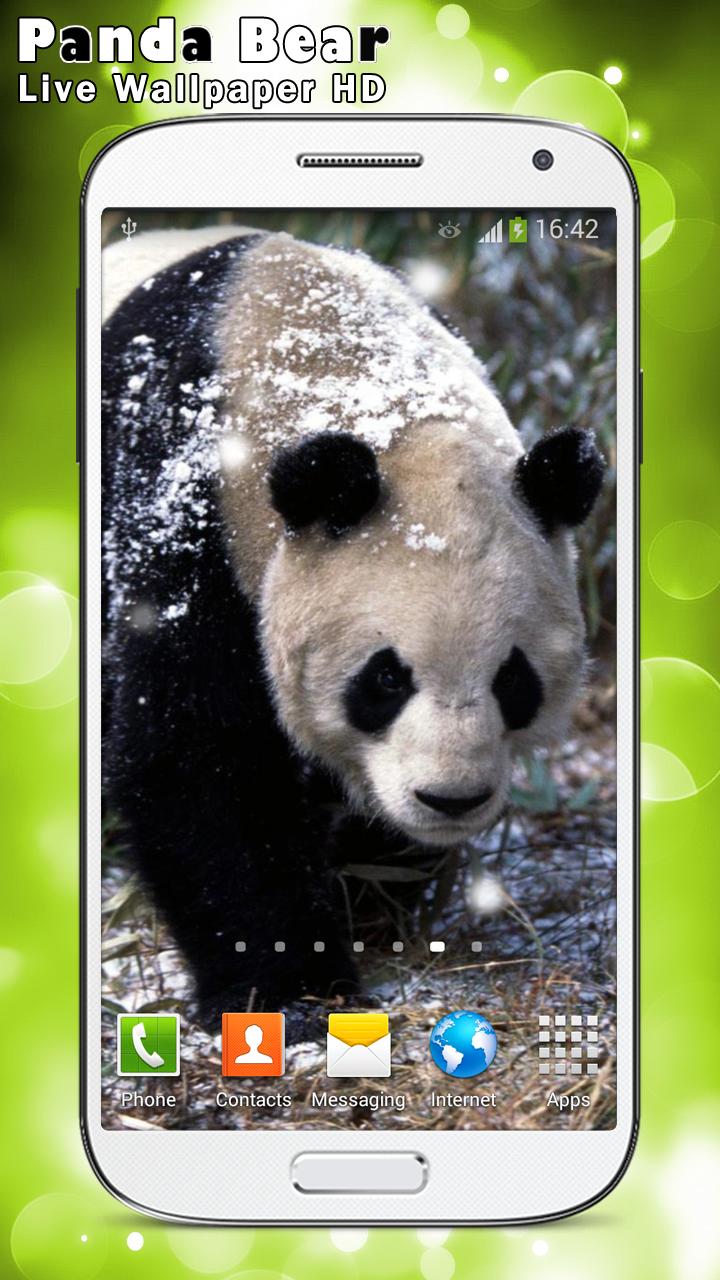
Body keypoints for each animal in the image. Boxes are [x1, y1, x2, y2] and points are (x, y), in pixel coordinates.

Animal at [102, 226, 605, 1032]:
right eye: (385, 679)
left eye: (514, 680)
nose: (452, 799)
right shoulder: (183, 509)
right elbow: (199, 757)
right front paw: (291, 989)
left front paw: (371, 900)